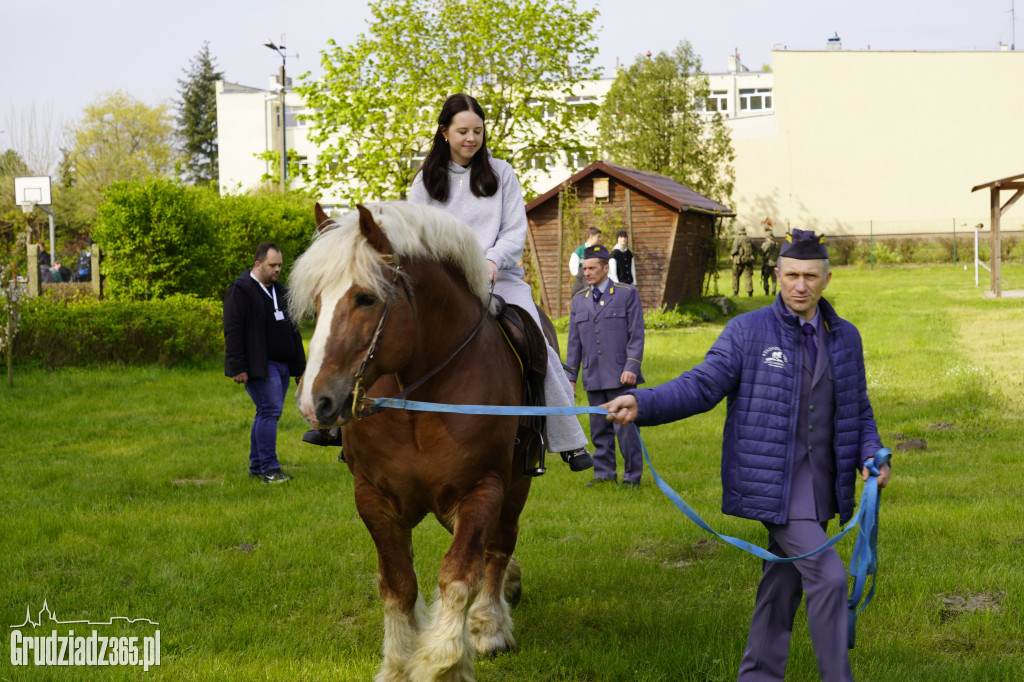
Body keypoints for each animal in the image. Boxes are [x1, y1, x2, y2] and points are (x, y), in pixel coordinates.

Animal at [290, 201, 536, 679]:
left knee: (499, 547)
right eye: (319, 301)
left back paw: (489, 623)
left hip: (517, 483)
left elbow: (459, 575)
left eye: (366, 297)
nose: (315, 401)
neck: (418, 401)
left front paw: (443, 661)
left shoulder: (483, 490)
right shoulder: (372, 497)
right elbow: (397, 583)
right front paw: (400, 662)